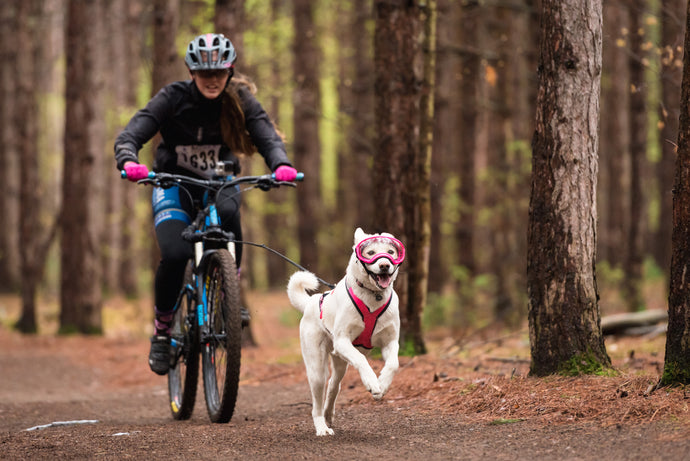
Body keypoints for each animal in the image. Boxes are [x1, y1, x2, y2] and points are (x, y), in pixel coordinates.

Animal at [284, 226, 404, 434]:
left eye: (390, 252)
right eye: (370, 253)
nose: (384, 265)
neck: (373, 296)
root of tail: (311, 301)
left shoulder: (390, 342)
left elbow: (393, 364)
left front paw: (382, 385)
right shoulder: (342, 341)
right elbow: (362, 360)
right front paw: (372, 382)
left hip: (340, 363)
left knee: (334, 385)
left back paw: (329, 415)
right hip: (317, 369)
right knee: (317, 401)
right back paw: (322, 427)